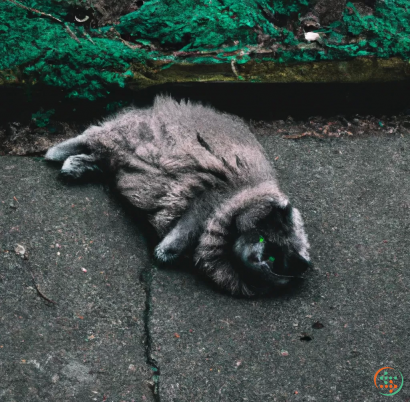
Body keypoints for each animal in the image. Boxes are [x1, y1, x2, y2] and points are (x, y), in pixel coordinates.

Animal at [44, 94, 310, 296]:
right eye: (266, 242)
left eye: (274, 260)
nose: (258, 258)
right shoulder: (207, 196)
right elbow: (185, 230)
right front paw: (164, 252)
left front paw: (167, 252)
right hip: (125, 134)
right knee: (90, 135)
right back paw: (56, 153)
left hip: (119, 156)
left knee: (100, 158)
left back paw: (74, 166)